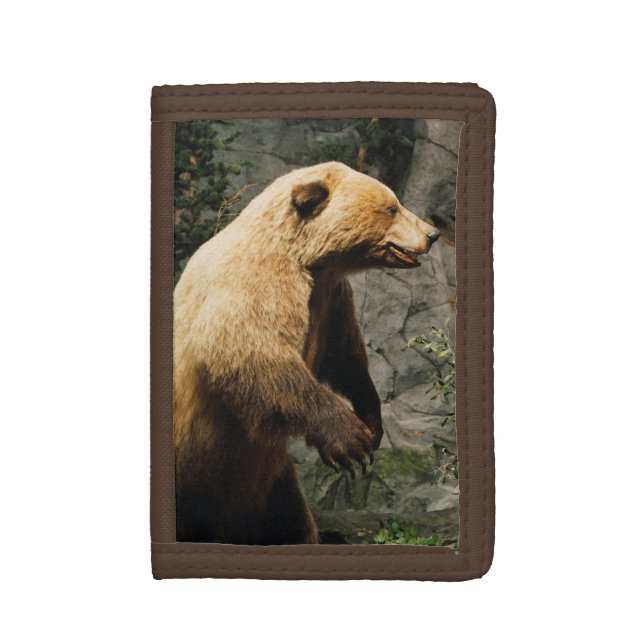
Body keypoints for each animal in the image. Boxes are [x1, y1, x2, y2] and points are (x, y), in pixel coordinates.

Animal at [173, 161, 441, 544]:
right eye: (392, 207)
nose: (433, 234)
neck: (309, 260)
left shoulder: (330, 299)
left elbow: (344, 356)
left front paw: (372, 422)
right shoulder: (254, 284)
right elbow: (254, 355)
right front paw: (350, 441)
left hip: (269, 482)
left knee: (287, 519)